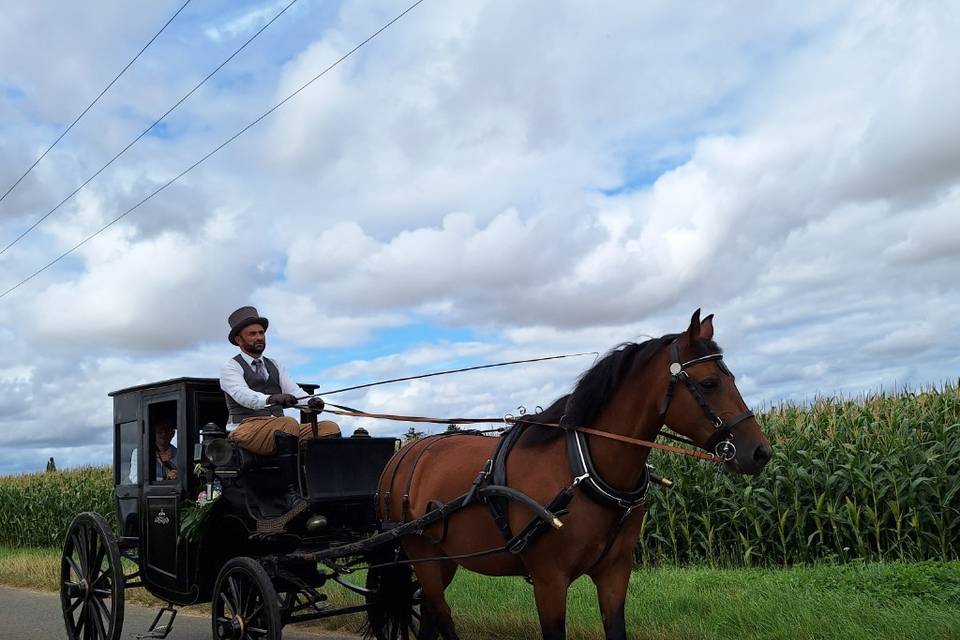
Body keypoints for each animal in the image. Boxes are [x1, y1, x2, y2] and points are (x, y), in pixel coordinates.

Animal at [376, 308, 772, 636]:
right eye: (709, 384)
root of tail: (404, 454)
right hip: (423, 558)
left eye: (730, 377)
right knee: (441, 616)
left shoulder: (614, 574)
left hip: (443, 560)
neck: (581, 470)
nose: (759, 452)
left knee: (430, 616)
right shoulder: (549, 581)